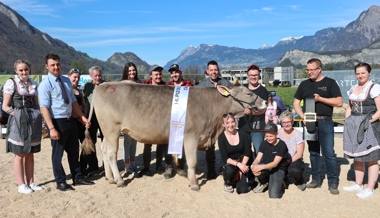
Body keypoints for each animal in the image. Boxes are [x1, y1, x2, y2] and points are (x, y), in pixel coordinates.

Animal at [84, 82, 266, 190]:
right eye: (248, 93)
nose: (265, 101)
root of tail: (103, 85)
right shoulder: (191, 136)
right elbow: (192, 162)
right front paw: (194, 184)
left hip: (107, 132)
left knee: (104, 150)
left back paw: (109, 178)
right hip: (112, 129)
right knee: (111, 153)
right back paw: (119, 180)